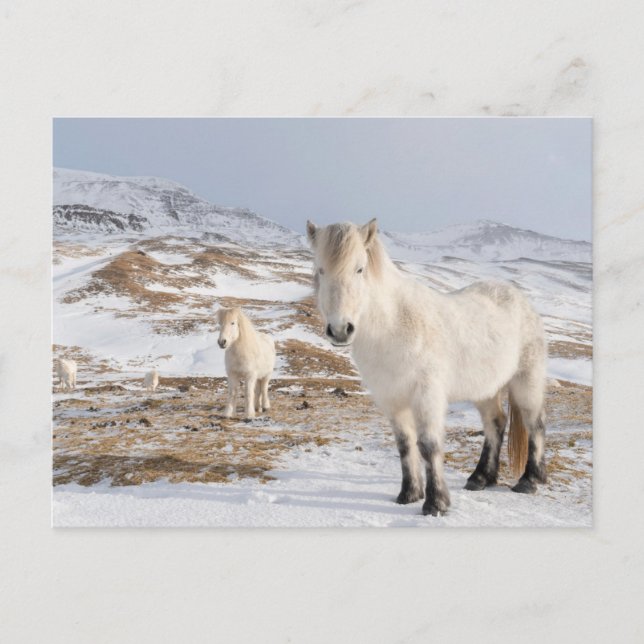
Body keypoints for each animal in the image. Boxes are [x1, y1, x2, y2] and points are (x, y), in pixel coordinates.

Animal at [306, 218, 547, 516]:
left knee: (535, 423)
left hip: (527, 381)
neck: (394, 326)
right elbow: (405, 444)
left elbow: (428, 446)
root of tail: (519, 298)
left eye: (359, 268)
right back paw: (480, 478)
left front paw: (435, 503)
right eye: (320, 269)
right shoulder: (392, 400)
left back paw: (529, 480)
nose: (340, 330)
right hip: (485, 390)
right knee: (495, 424)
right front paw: (409, 494)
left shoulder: (426, 395)